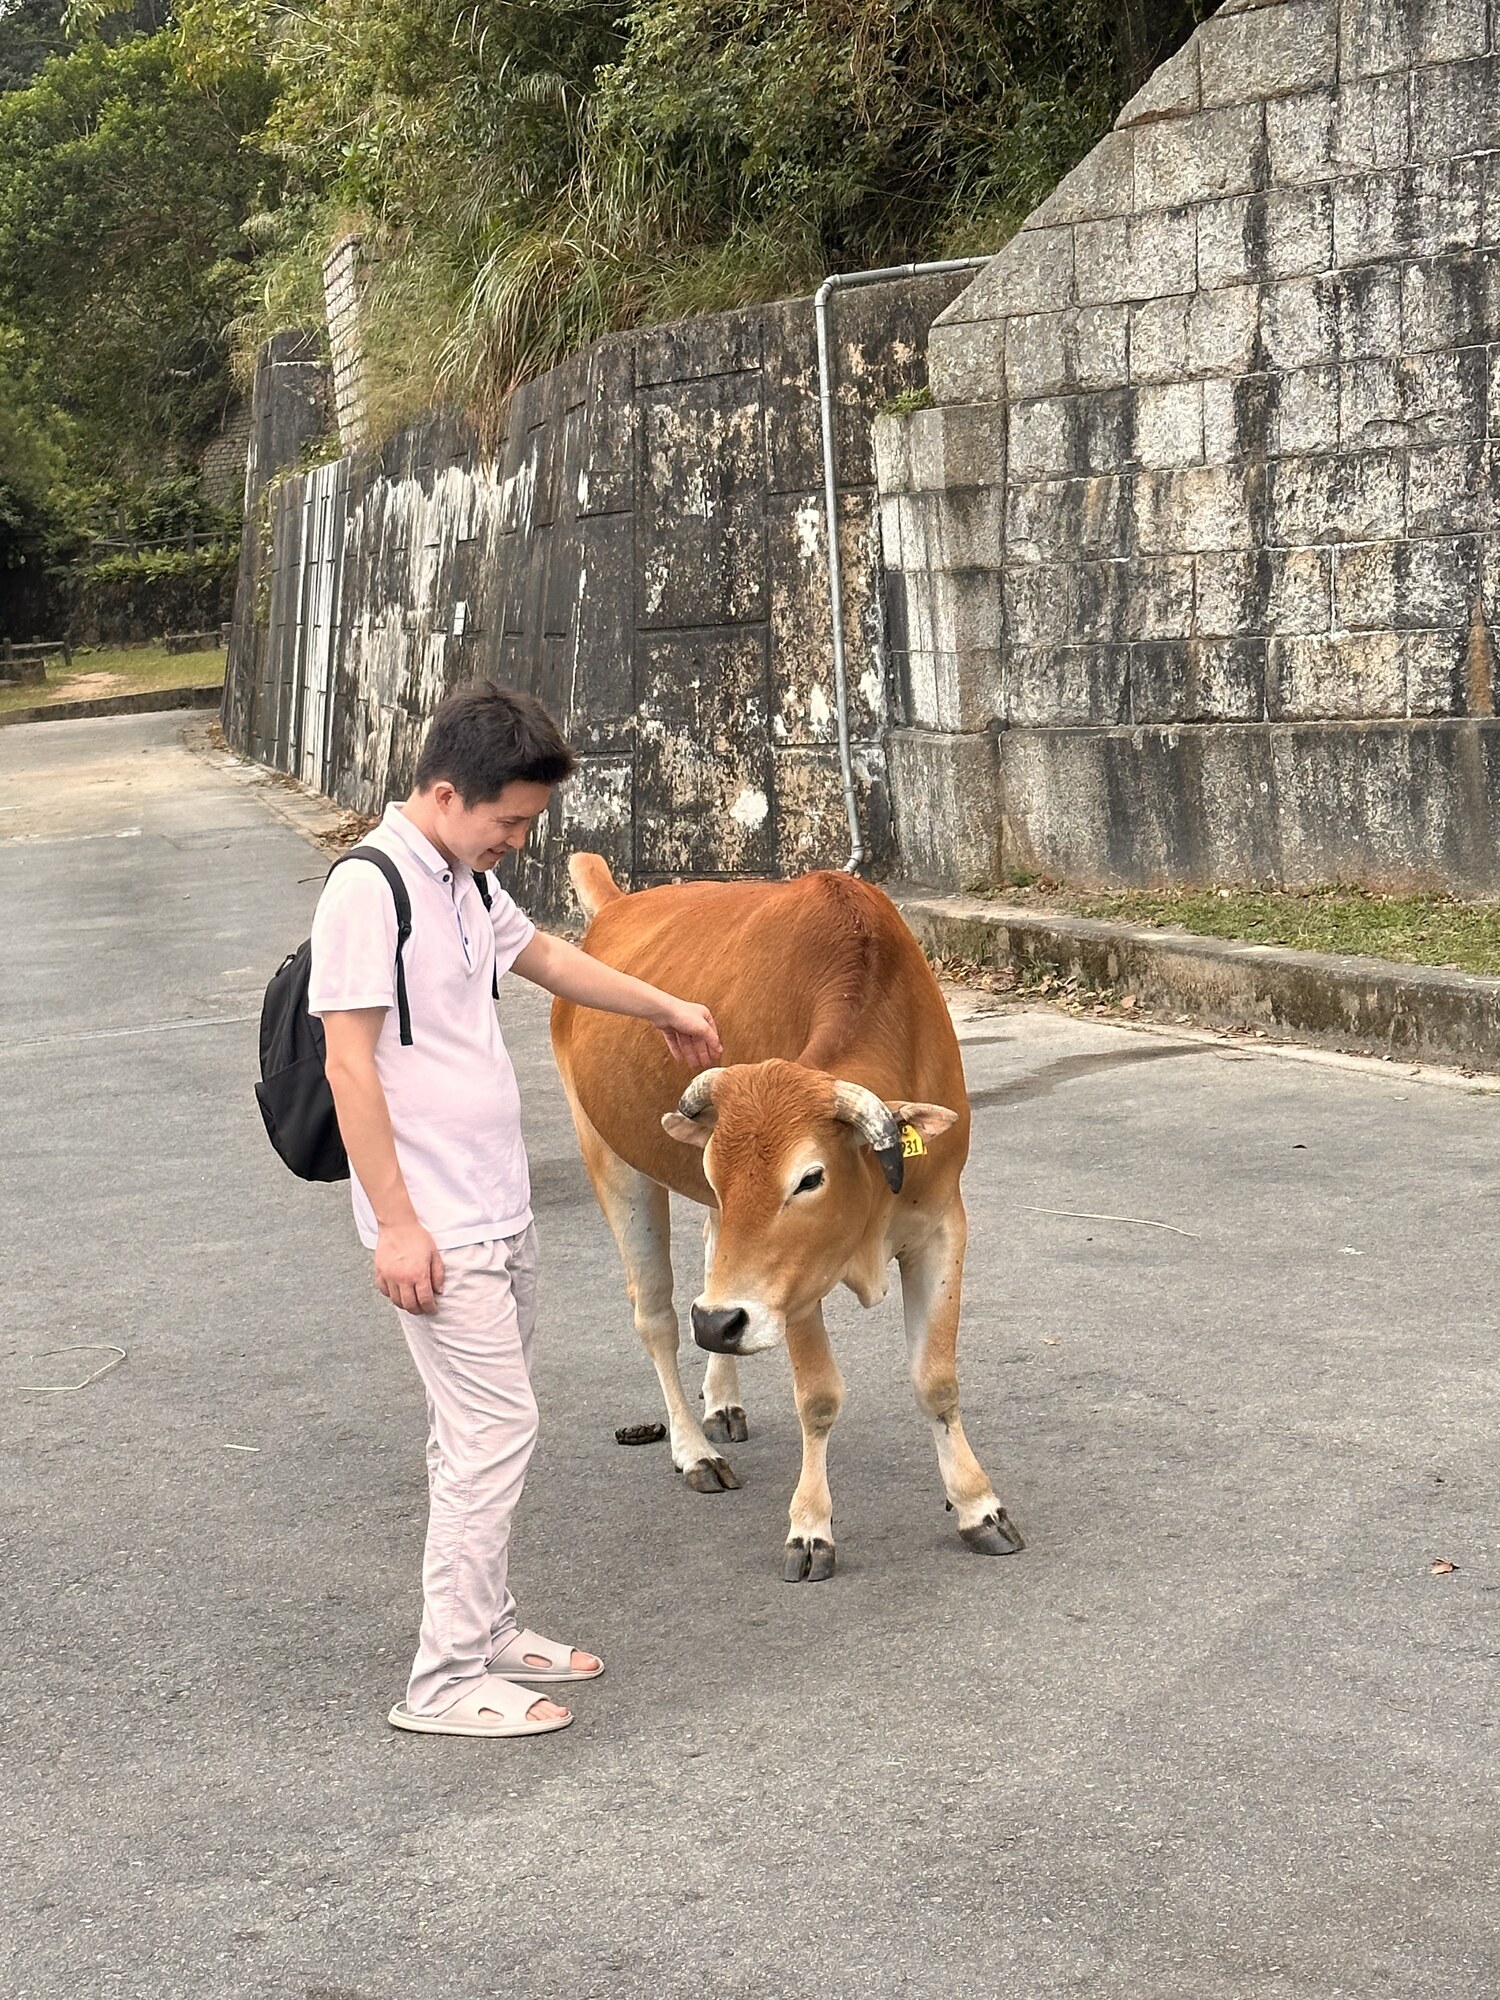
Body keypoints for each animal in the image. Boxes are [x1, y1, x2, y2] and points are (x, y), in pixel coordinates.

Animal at [549, 854, 1024, 1580]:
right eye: (716, 1169)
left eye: (809, 1177)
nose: (718, 1321)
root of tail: (614, 908)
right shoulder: (794, 1286)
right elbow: (819, 1398)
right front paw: (810, 1528)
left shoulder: (942, 1225)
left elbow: (937, 1381)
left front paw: (978, 1507)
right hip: (610, 1160)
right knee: (657, 1315)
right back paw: (695, 1450)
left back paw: (721, 1395)